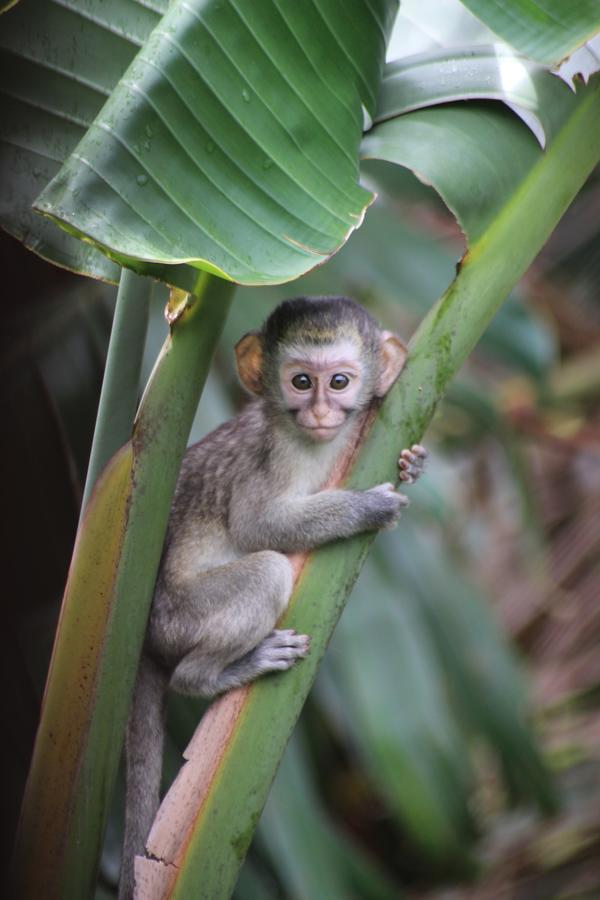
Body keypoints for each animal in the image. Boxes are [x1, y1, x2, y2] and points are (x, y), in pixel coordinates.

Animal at [118, 298, 426, 900]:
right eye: (301, 382)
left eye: (339, 381)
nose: (321, 411)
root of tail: (143, 631)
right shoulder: (272, 456)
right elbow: (257, 526)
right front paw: (365, 509)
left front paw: (413, 464)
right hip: (178, 619)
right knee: (266, 572)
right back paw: (210, 675)